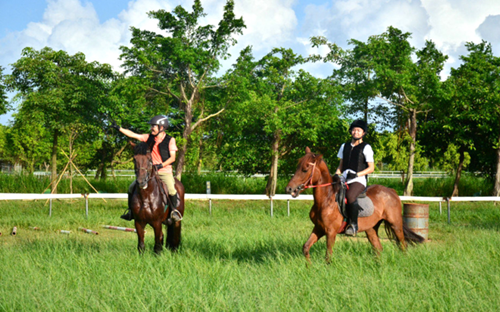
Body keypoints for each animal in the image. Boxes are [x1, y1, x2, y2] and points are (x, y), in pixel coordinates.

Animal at [286, 147, 422, 262]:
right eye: (297, 167)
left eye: (305, 169)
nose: (289, 189)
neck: (326, 200)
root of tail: (391, 191)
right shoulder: (319, 228)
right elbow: (306, 247)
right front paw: (308, 267)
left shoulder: (331, 232)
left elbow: (328, 256)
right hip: (371, 229)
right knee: (378, 248)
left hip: (395, 224)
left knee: (403, 245)